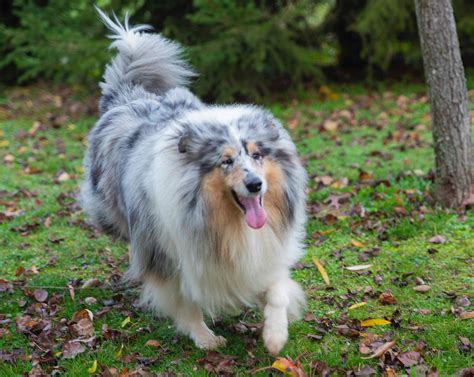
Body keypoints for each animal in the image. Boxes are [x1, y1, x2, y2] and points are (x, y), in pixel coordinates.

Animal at [81, 10, 308, 354]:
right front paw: (206, 339)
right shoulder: (169, 256)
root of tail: (128, 96)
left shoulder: (262, 254)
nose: (255, 185)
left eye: (257, 155)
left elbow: (277, 291)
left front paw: (274, 336)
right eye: (225, 161)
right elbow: (185, 302)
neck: (226, 224)